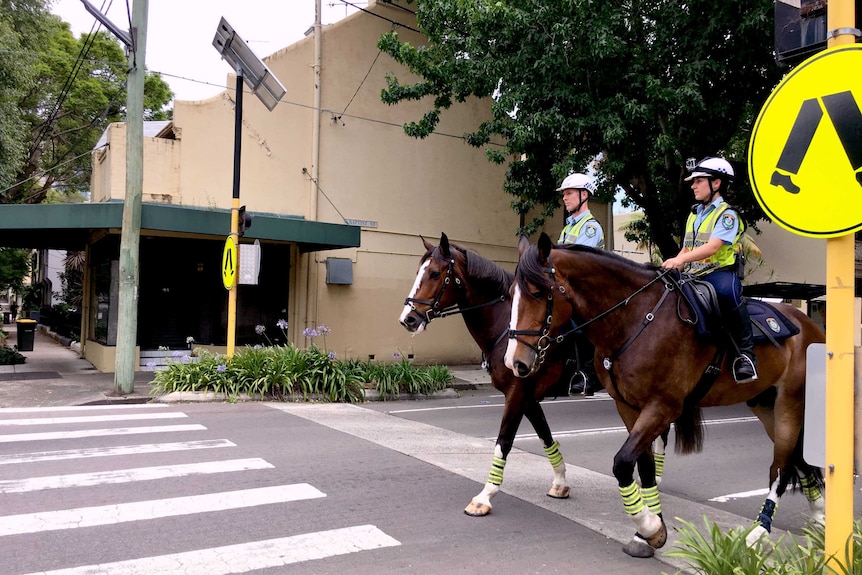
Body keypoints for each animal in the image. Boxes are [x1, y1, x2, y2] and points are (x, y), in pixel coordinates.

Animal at [402, 234, 584, 516]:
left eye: (434, 273)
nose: (408, 319)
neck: (507, 326)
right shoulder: (527, 398)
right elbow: (545, 435)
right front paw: (560, 482)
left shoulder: (517, 393)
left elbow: (504, 442)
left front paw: (485, 497)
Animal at [506, 233, 832, 560]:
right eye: (511, 293)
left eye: (537, 293)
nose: (515, 362)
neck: (636, 318)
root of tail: (811, 326)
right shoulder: (628, 407)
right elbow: (644, 465)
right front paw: (647, 531)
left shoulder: (663, 407)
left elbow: (622, 463)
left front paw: (650, 527)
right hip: (764, 405)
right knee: (796, 459)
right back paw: (819, 514)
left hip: (790, 403)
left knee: (781, 467)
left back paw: (758, 532)